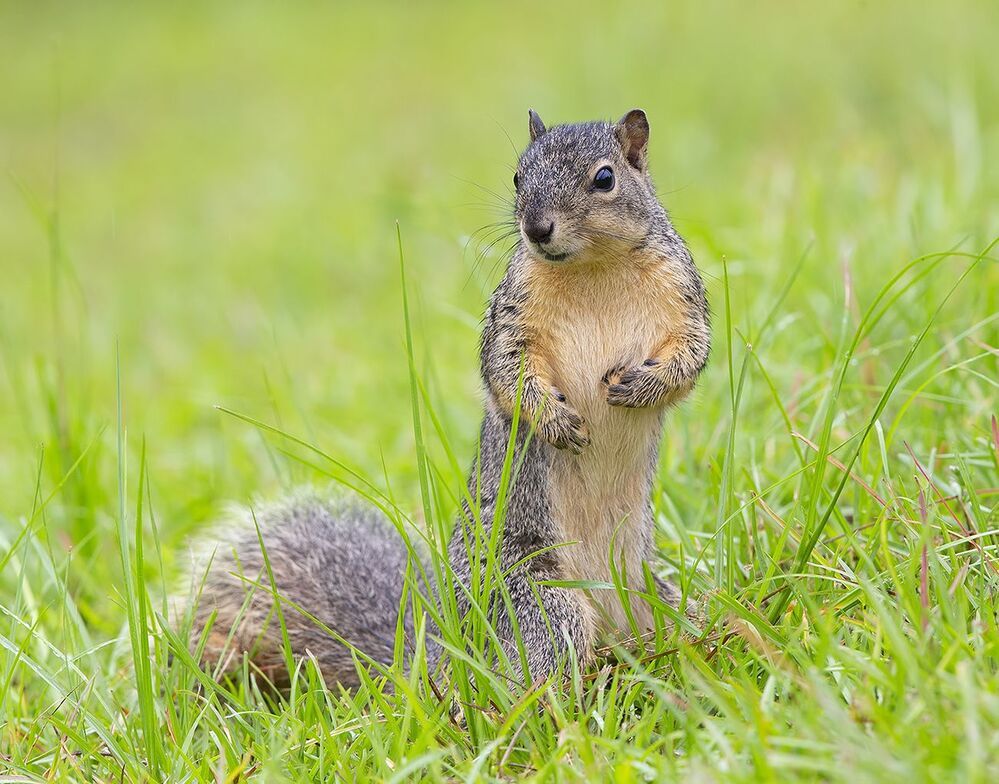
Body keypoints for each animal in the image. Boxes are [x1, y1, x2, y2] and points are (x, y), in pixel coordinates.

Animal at [190, 109, 710, 689]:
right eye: (516, 177)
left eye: (605, 178)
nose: (537, 228)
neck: (592, 268)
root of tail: (434, 653)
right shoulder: (512, 314)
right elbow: (506, 371)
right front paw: (554, 421)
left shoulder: (681, 292)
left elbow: (692, 353)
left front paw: (646, 385)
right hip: (536, 601)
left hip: (662, 600)